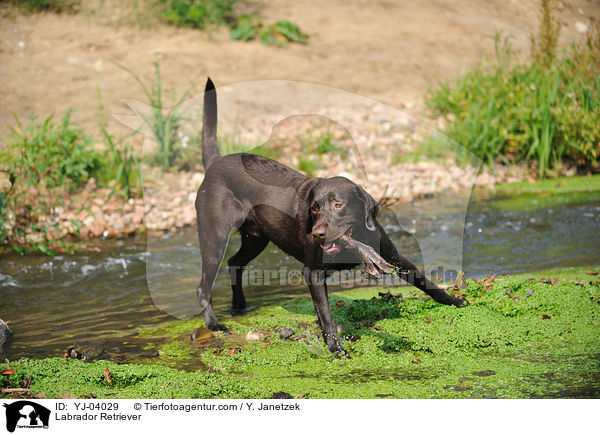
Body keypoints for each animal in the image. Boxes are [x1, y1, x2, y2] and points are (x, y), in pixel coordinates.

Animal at [195, 78, 466, 356]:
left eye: (338, 205)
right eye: (314, 208)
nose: (317, 234)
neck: (354, 240)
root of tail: (215, 163)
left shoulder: (394, 257)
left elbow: (425, 282)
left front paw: (456, 301)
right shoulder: (312, 273)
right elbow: (325, 314)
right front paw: (335, 347)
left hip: (256, 238)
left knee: (234, 263)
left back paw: (240, 306)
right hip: (214, 235)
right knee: (204, 286)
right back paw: (214, 324)